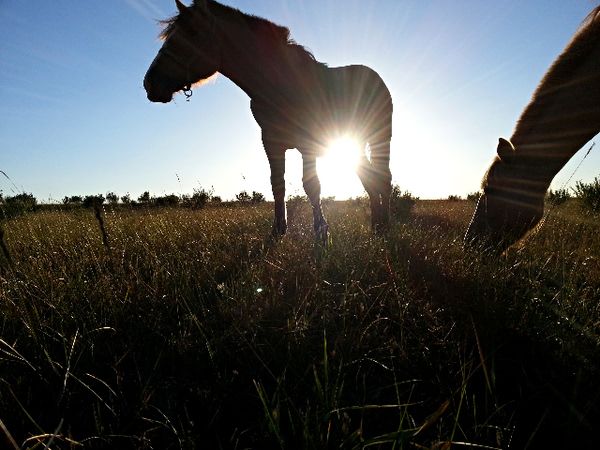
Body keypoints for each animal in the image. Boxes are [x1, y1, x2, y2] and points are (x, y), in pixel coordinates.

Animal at [145, 0, 394, 239]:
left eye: (193, 32)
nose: (150, 83)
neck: (278, 84)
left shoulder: (308, 144)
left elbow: (312, 185)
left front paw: (321, 232)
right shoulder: (271, 143)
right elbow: (278, 185)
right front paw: (278, 230)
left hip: (379, 139)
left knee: (383, 178)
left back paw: (384, 226)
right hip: (356, 142)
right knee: (370, 179)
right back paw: (376, 225)